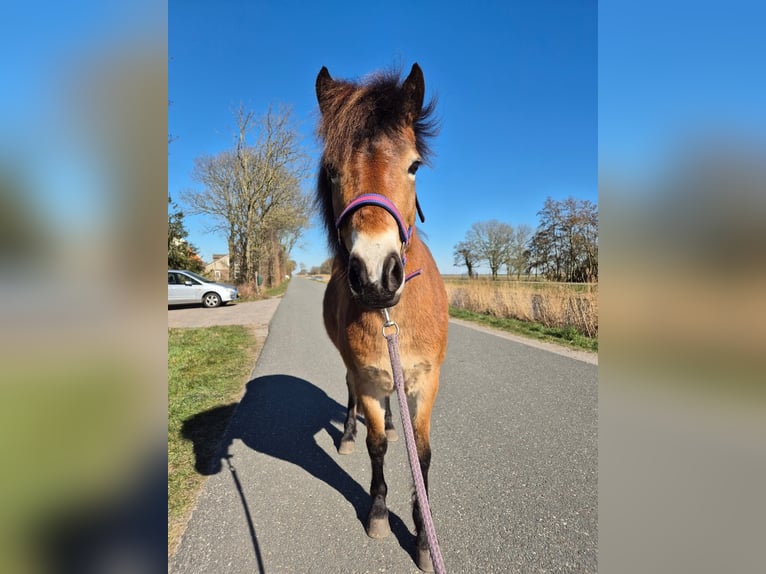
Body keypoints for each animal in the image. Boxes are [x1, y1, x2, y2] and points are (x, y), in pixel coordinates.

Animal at [314, 63, 449, 572]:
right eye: (332, 170)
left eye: (414, 166)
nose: (375, 274)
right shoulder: (370, 378)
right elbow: (377, 447)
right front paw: (377, 512)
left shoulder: (426, 382)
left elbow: (421, 453)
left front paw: (425, 536)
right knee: (351, 394)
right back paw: (350, 432)